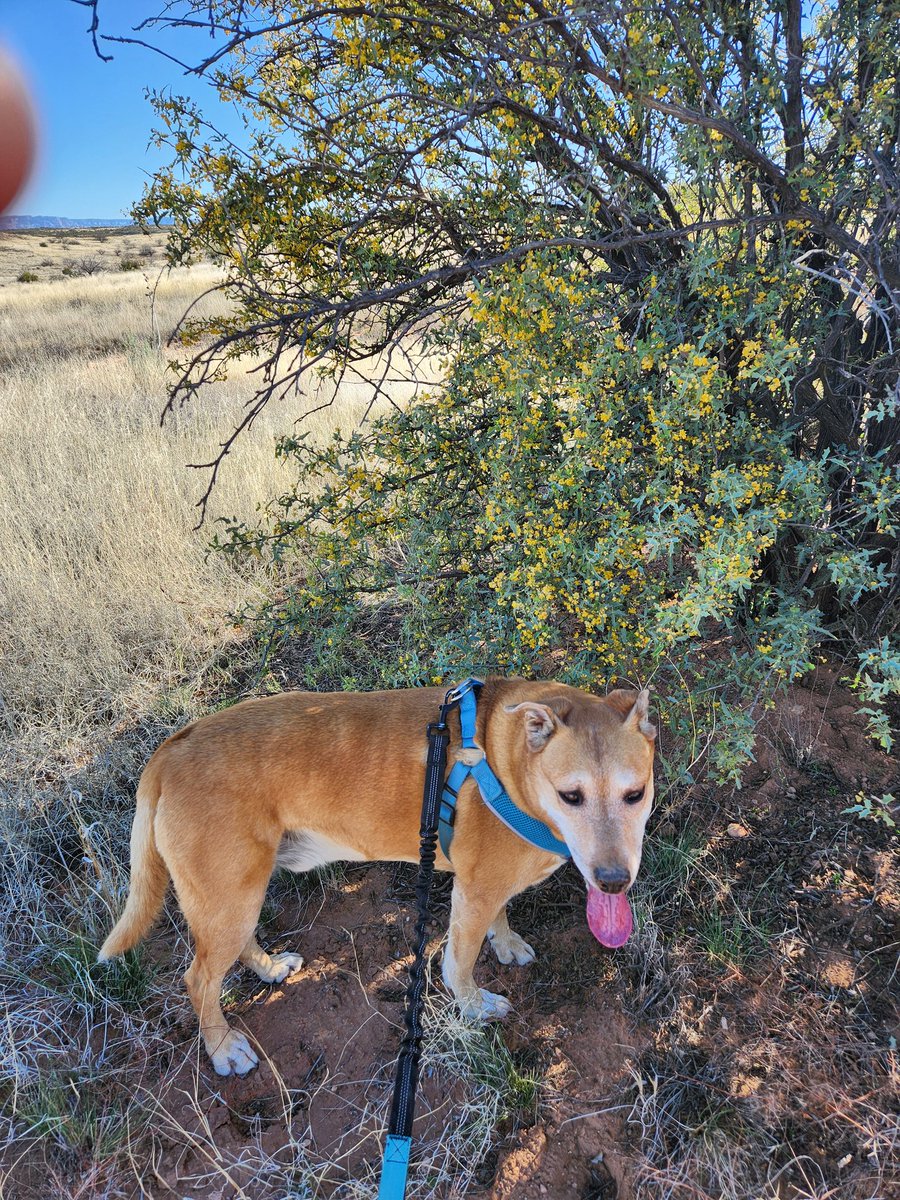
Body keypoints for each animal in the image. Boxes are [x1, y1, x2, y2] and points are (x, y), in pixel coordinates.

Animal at [100, 676, 657, 1080]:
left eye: (635, 794)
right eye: (571, 796)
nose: (613, 881)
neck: (511, 764)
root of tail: (169, 751)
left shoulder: (489, 881)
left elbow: (500, 916)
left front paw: (506, 942)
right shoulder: (474, 891)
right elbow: (460, 962)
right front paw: (474, 1005)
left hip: (238, 894)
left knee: (234, 950)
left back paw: (270, 969)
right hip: (228, 896)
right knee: (199, 980)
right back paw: (222, 1049)